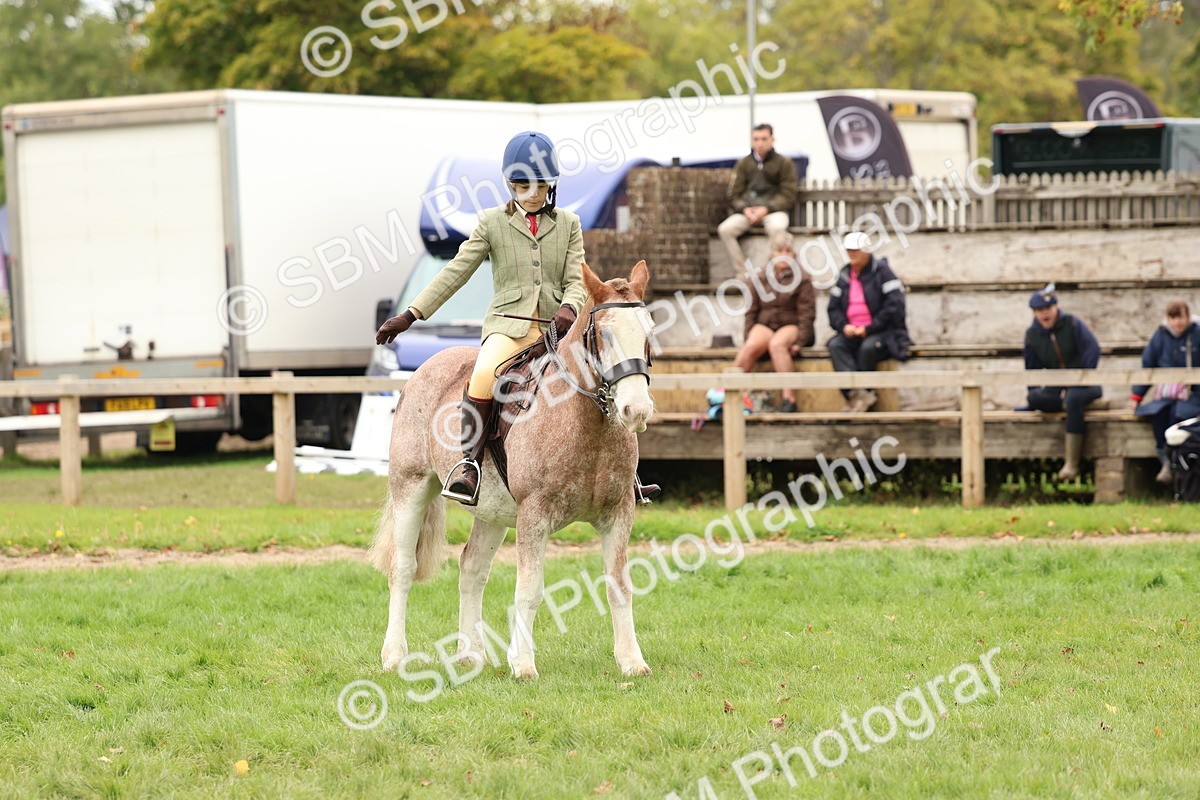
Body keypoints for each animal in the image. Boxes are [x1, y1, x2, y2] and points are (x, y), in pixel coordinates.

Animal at [369, 261, 656, 679]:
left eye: (649, 332)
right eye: (604, 334)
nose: (637, 410)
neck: (585, 423)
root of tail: (427, 368)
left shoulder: (618, 514)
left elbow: (619, 585)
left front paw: (632, 661)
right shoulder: (534, 515)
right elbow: (530, 590)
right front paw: (522, 664)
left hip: (492, 511)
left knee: (472, 568)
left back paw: (470, 655)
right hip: (411, 488)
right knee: (403, 569)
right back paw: (394, 655)